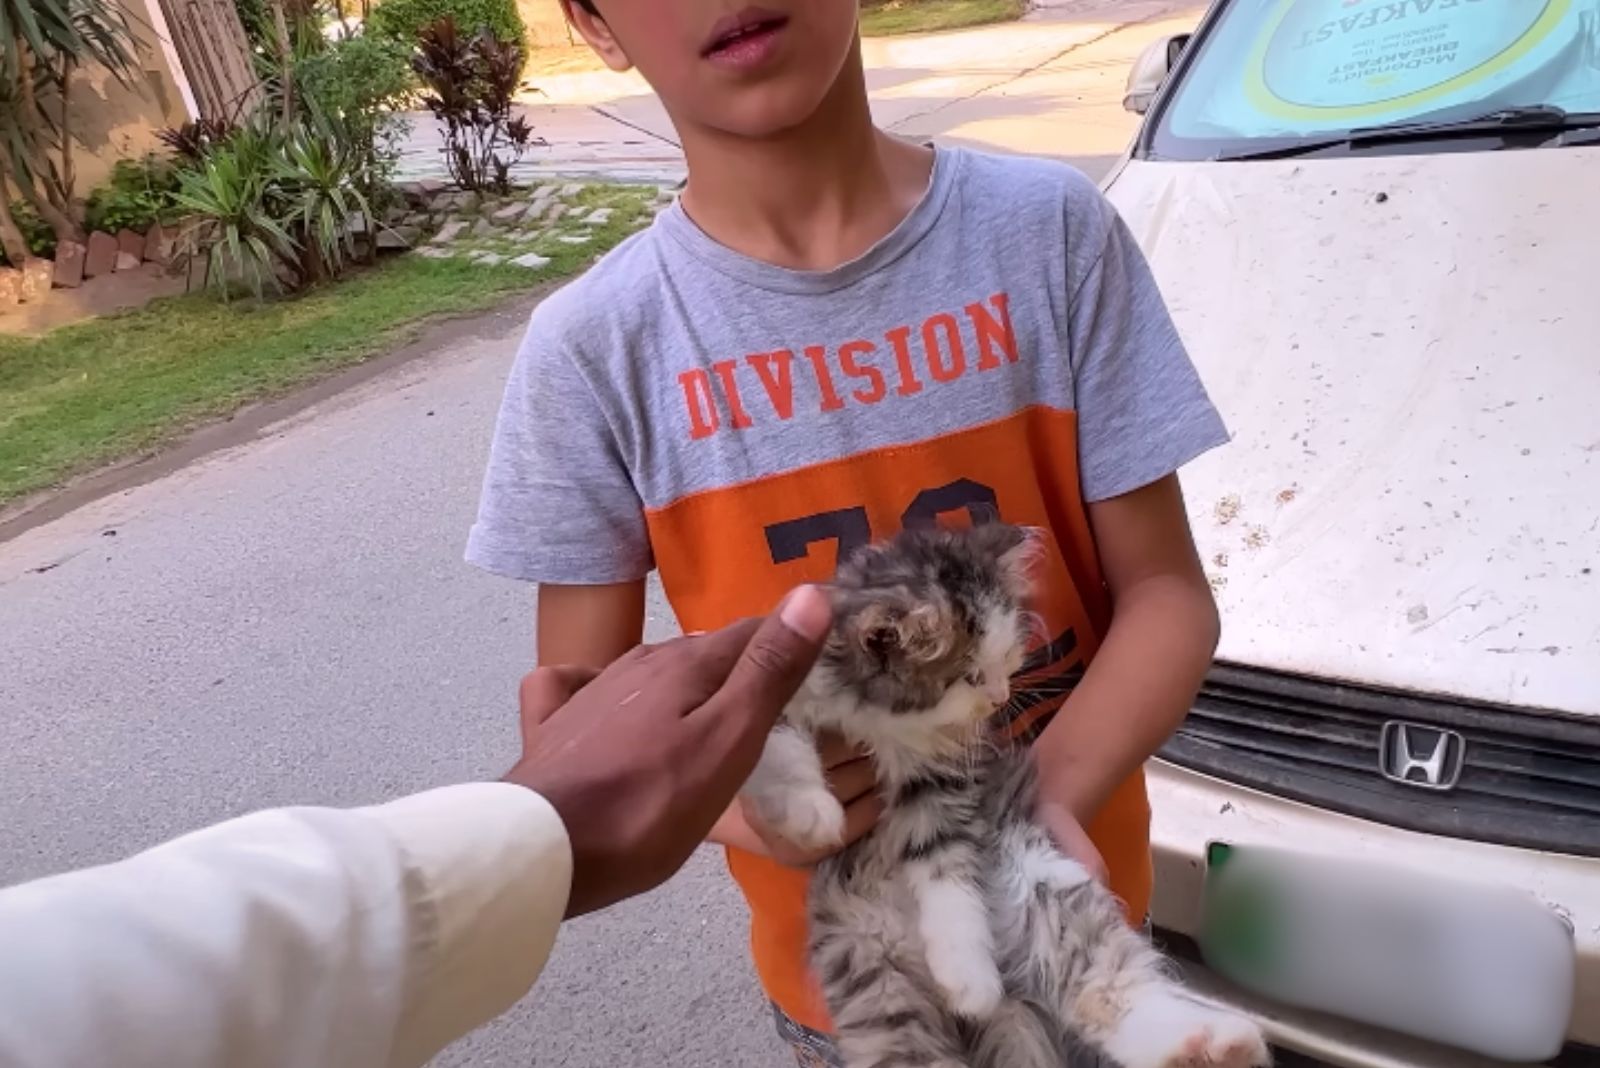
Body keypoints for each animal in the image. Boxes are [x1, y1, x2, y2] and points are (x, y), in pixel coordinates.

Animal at [739, 524, 1273, 1068]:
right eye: (971, 677)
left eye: (1007, 659)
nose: (998, 698)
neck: (881, 718)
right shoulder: (771, 682)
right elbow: (776, 748)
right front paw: (810, 813)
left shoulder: (939, 784)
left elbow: (945, 873)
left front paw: (969, 982)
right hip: (877, 983)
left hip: (1047, 892)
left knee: (1106, 992)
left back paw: (1214, 1045)